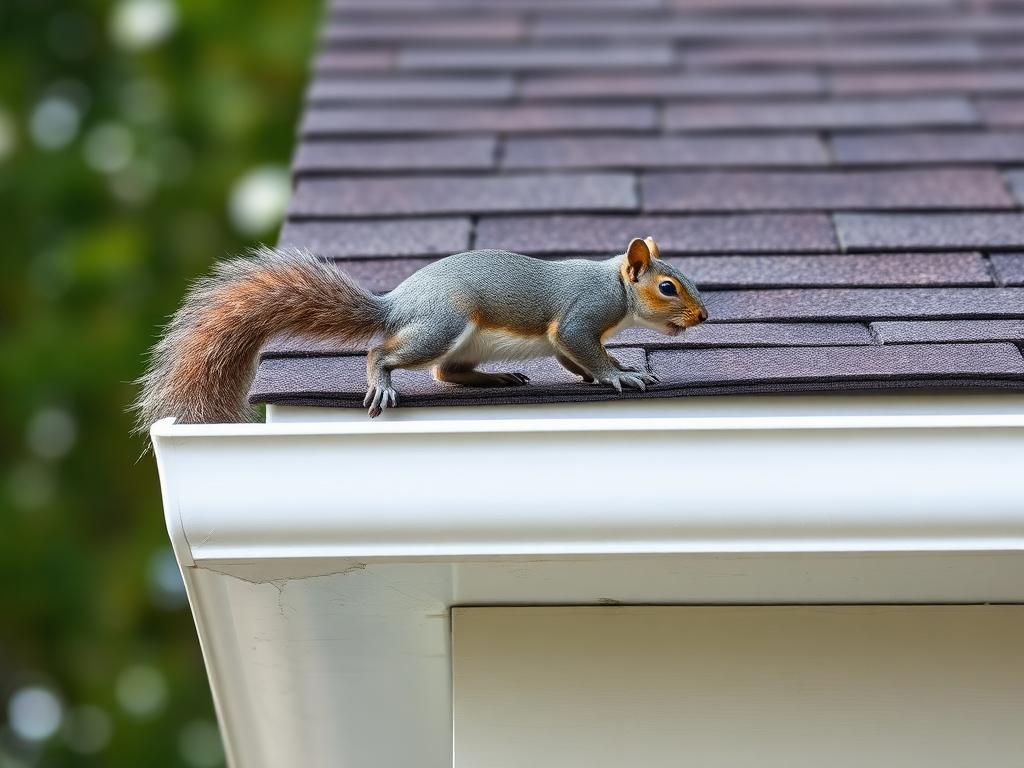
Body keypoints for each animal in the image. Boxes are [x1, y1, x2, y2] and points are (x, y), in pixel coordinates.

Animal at [136, 236, 708, 425]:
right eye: (668, 287)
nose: (703, 317)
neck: (615, 286)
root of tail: (397, 303)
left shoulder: (568, 335)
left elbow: (572, 358)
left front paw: (610, 369)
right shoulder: (579, 316)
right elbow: (580, 349)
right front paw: (620, 375)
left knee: (445, 374)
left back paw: (494, 379)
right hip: (443, 325)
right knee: (384, 353)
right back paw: (382, 381)